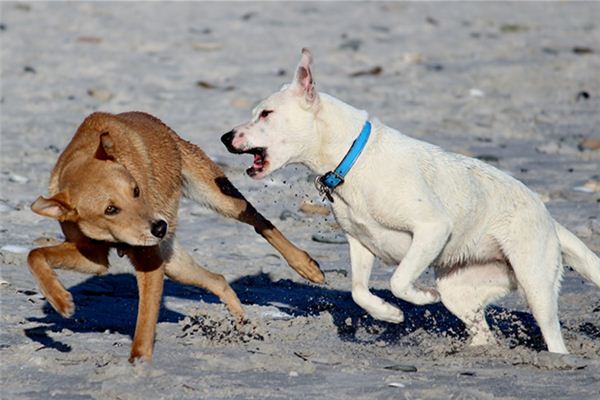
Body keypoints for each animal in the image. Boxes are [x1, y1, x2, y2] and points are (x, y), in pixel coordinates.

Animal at [27, 111, 324, 360]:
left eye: (136, 190)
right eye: (110, 209)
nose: (160, 227)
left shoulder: (150, 262)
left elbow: (145, 323)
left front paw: (139, 365)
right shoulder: (94, 256)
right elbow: (35, 255)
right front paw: (60, 300)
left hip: (220, 197)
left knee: (260, 221)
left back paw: (306, 266)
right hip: (175, 265)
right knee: (219, 280)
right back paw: (244, 325)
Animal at [224, 49, 600, 354]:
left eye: (266, 114)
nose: (225, 137)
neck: (351, 159)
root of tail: (550, 219)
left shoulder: (432, 228)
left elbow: (398, 280)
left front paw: (419, 298)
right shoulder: (360, 243)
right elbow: (359, 291)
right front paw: (388, 314)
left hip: (535, 286)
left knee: (553, 337)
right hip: (460, 290)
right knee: (481, 332)